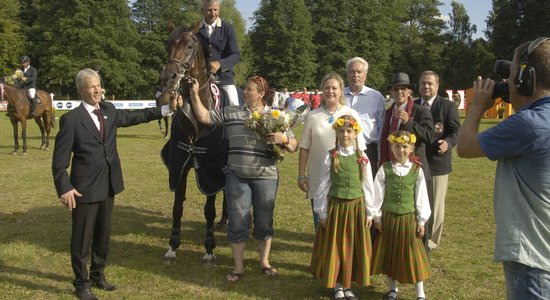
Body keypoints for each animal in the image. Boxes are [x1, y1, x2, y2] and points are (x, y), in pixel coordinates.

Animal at [158, 21, 230, 268]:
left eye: (189, 46)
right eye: (168, 44)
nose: (169, 77)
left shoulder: (211, 168)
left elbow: (209, 209)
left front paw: (208, 250)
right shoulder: (179, 164)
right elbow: (177, 207)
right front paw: (172, 248)